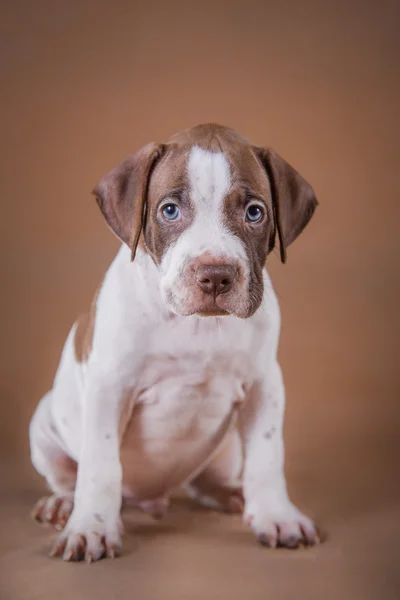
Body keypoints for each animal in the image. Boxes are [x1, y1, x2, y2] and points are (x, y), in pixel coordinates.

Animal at [28, 124, 318, 560]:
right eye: (169, 210)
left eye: (254, 212)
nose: (215, 275)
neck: (196, 327)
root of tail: (152, 498)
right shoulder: (109, 389)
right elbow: (100, 467)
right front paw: (91, 526)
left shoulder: (265, 386)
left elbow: (267, 457)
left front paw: (276, 515)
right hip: (44, 426)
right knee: (69, 476)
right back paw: (63, 504)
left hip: (225, 448)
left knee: (202, 483)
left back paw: (230, 494)